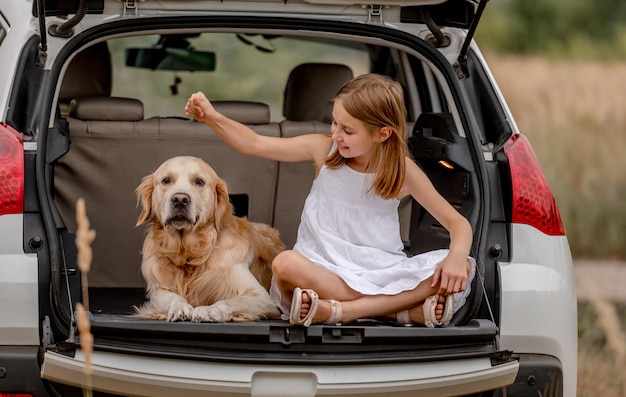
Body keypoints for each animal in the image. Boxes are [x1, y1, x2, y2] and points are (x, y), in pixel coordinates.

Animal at [136, 155, 286, 322]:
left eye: (199, 182)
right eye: (166, 180)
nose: (180, 199)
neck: (190, 254)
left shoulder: (261, 297)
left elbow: (229, 301)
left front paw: (209, 310)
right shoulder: (157, 289)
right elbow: (172, 297)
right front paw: (179, 307)